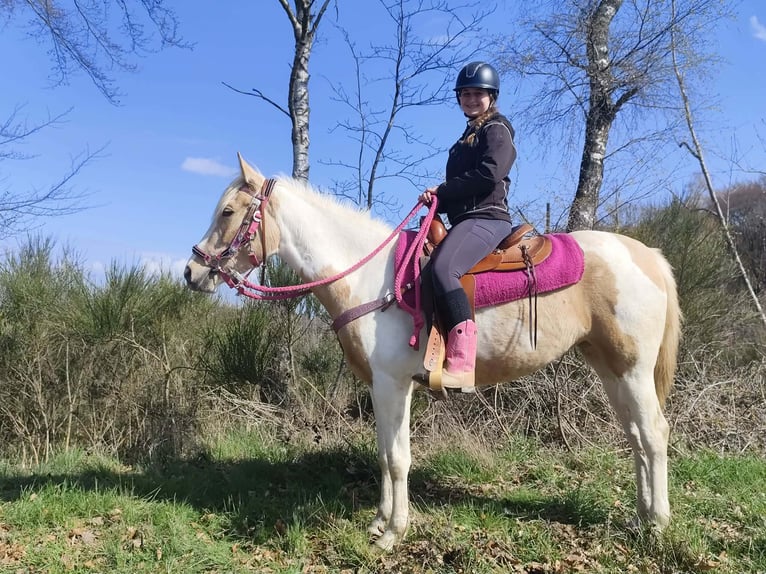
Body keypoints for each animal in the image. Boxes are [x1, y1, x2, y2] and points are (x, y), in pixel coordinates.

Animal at [184, 154, 681, 550]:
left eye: (227, 211)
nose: (191, 271)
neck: (373, 279)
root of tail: (650, 256)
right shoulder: (382, 388)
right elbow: (384, 454)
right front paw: (379, 523)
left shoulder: (393, 384)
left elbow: (398, 458)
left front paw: (392, 534)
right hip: (610, 369)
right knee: (636, 437)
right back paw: (640, 518)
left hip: (634, 371)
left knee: (654, 433)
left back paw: (658, 524)